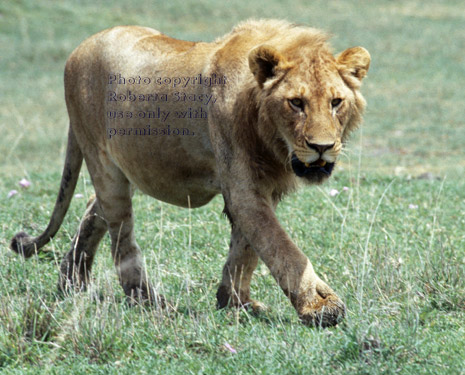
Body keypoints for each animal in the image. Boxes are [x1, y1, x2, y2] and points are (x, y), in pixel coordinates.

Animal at [10, 19, 370, 328]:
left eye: (336, 102)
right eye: (296, 102)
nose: (322, 147)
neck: (271, 137)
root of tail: (80, 48)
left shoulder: (265, 187)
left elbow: (246, 250)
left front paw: (236, 302)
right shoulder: (243, 186)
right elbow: (280, 246)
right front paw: (320, 306)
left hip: (129, 167)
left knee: (92, 209)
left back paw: (71, 281)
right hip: (103, 163)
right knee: (121, 237)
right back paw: (148, 301)